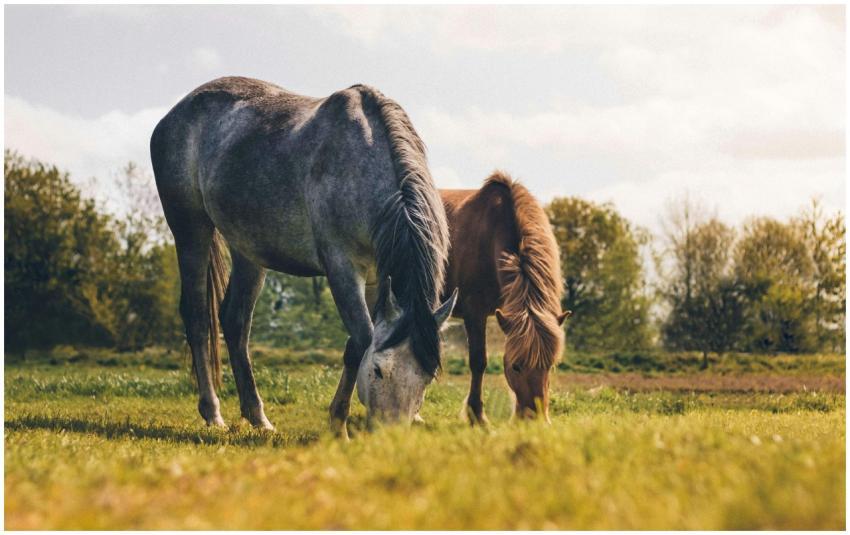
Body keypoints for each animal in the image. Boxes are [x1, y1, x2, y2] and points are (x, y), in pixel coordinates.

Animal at [150, 77, 457, 437]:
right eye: (380, 370)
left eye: (427, 377)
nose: (389, 435)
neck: (363, 162)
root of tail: (175, 113)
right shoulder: (341, 268)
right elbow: (362, 340)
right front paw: (338, 424)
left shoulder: (376, 277)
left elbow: (357, 343)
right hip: (191, 230)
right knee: (198, 318)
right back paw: (213, 413)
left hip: (248, 250)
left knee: (235, 322)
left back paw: (257, 416)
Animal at [441, 171, 570, 423]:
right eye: (516, 366)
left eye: (549, 366)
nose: (534, 419)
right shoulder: (474, 312)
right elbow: (478, 362)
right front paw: (477, 416)